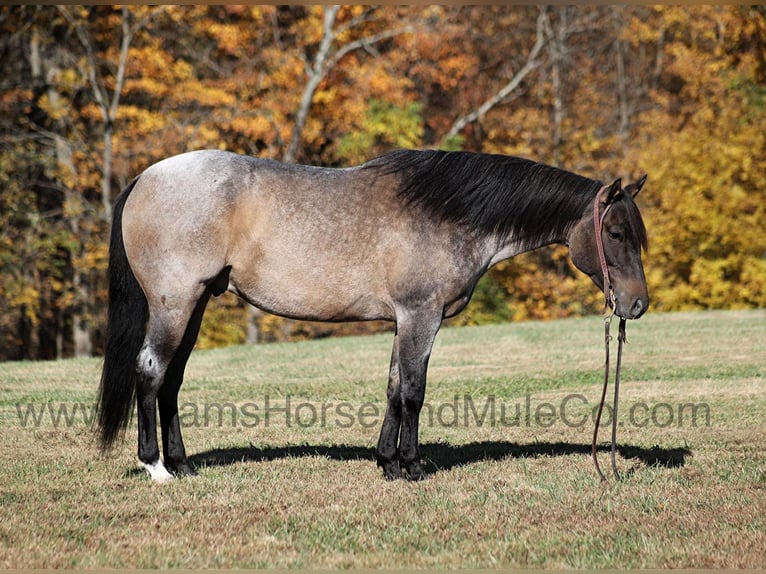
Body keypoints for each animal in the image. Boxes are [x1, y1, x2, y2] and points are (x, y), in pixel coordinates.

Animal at [94, 151, 648, 484]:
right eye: (615, 233)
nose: (637, 304)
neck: (448, 213)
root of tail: (146, 177)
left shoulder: (404, 321)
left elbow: (393, 386)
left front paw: (386, 462)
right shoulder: (422, 316)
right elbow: (414, 390)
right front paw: (412, 467)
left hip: (196, 304)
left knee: (171, 380)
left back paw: (182, 465)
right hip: (175, 304)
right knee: (151, 372)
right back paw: (155, 467)